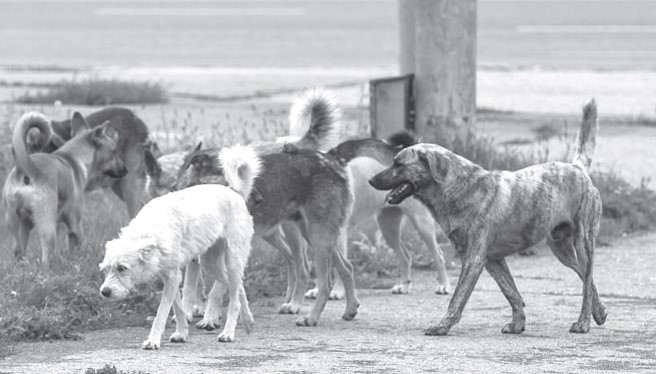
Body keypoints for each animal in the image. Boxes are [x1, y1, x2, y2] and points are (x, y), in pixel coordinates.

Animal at [2, 111, 128, 266]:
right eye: (114, 151)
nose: (125, 170)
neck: (74, 158)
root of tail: (27, 167)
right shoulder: (75, 224)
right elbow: (76, 245)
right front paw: (77, 259)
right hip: (47, 224)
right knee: (46, 254)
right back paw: (48, 266)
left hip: (16, 224)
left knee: (18, 249)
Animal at [98, 144, 260, 350]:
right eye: (105, 270)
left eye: (122, 268)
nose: (104, 292)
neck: (149, 231)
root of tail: (235, 192)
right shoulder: (169, 276)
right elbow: (179, 307)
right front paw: (181, 333)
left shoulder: (173, 277)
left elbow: (162, 311)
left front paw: (153, 340)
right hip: (210, 264)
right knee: (238, 288)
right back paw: (248, 321)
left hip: (231, 260)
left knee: (234, 298)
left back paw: (228, 333)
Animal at [326, 131, 452, 296]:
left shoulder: (338, 233)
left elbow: (338, 267)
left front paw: (337, 291)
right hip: (388, 228)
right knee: (405, 257)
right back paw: (404, 286)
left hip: (422, 224)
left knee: (439, 255)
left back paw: (443, 285)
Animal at [368, 99, 604, 336]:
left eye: (398, 164)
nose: (371, 180)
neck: (459, 188)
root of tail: (577, 168)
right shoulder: (492, 260)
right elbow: (511, 292)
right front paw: (518, 323)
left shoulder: (473, 259)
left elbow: (457, 298)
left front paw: (442, 325)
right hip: (561, 249)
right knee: (587, 278)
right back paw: (599, 311)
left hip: (583, 242)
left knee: (587, 280)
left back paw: (583, 322)